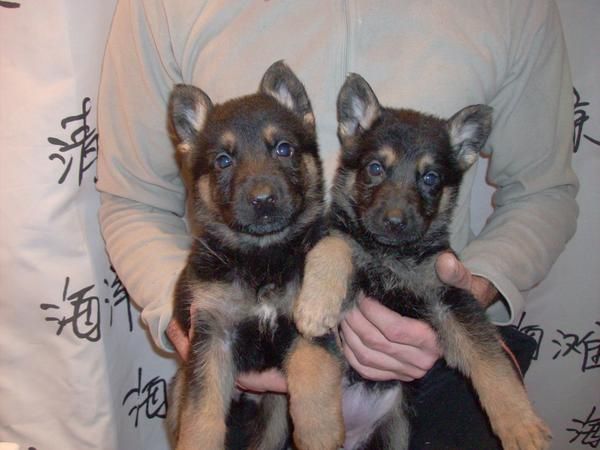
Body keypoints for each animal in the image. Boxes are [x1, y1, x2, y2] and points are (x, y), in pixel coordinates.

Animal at [166, 61, 344, 450]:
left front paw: (321, 433)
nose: (263, 200)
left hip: (274, 417)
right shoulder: (212, 336)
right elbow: (201, 415)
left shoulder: (304, 321)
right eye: (223, 160)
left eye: (283, 149)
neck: (262, 259)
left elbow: (313, 377)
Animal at [292, 74, 552, 450]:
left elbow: (493, 363)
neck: (391, 256)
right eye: (375, 168)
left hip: (395, 430)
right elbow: (337, 245)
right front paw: (315, 305)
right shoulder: (340, 247)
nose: (395, 222)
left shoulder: (450, 299)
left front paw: (521, 425)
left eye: (430, 178)